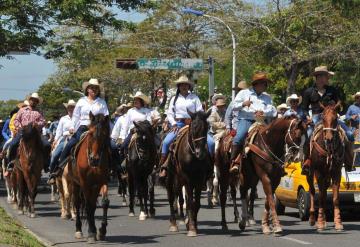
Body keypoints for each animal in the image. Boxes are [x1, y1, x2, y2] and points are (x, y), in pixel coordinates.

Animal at [69, 112, 110, 243]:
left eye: (104, 134)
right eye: (91, 133)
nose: (94, 159)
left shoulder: (100, 182)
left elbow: (99, 204)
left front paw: (100, 231)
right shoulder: (85, 183)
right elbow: (88, 205)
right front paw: (92, 232)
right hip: (75, 184)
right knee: (77, 203)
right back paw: (79, 230)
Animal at [306, 104, 348, 232]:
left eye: (335, 119)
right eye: (323, 118)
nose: (329, 138)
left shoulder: (336, 172)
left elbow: (335, 198)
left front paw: (338, 222)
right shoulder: (319, 172)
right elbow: (320, 197)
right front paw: (320, 222)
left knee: (324, 192)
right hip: (310, 173)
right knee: (313, 191)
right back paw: (313, 219)